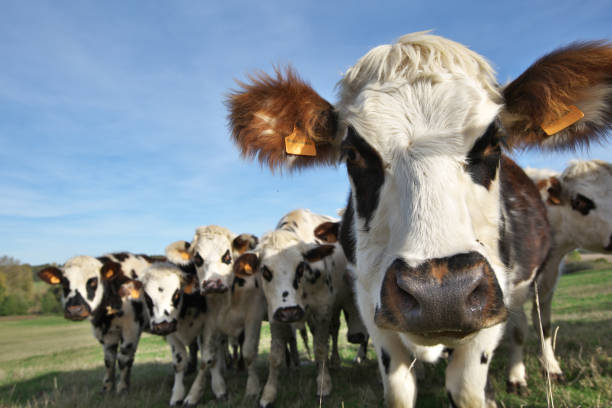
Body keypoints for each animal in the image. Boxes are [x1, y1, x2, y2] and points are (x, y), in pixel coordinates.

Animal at [37, 253, 158, 394]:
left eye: (93, 281)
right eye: (64, 283)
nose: (74, 310)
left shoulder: (131, 328)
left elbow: (124, 359)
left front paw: (122, 388)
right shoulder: (108, 334)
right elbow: (109, 361)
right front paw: (107, 388)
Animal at [234, 209, 350, 406]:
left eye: (301, 267)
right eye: (265, 270)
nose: (290, 312)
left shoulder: (323, 310)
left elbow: (320, 347)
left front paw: (323, 383)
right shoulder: (275, 314)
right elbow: (275, 355)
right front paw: (269, 393)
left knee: (333, 333)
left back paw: (334, 362)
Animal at [500, 160, 612, 392]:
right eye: (580, 201)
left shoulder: (548, 285)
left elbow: (545, 326)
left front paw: (551, 369)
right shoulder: (514, 288)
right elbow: (518, 331)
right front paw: (516, 377)